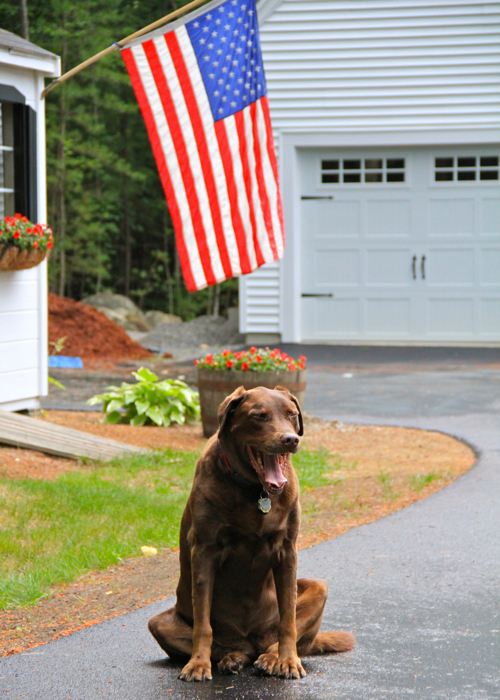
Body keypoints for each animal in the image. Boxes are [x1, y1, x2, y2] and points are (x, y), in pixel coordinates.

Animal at [148, 386, 356, 680]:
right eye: (260, 416)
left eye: (292, 415)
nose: (290, 439)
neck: (255, 490)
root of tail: (249, 640)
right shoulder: (204, 550)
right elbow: (203, 623)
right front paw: (198, 664)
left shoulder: (287, 550)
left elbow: (288, 619)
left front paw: (288, 661)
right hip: (159, 622)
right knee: (227, 646)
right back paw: (232, 658)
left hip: (318, 588)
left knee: (273, 641)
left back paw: (270, 658)